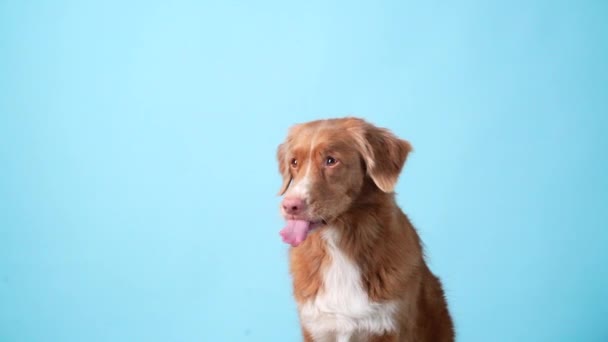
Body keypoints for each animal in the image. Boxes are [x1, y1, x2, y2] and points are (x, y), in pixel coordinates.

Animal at [278, 116, 454, 340]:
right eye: (294, 163)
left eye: (331, 161)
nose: (290, 206)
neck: (340, 243)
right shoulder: (316, 327)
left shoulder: (391, 326)